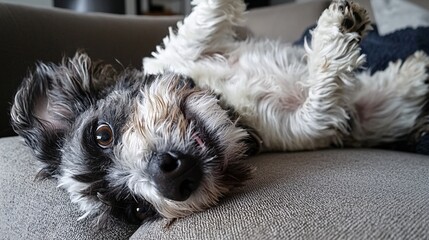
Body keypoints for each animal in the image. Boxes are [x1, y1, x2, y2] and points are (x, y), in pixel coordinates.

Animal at [9, 0, 428, 225]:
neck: (230, 106)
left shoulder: (178, 51)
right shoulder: (310, 125)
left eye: (102, 134)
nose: (169, 180)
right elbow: (324, 101)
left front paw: (412, 69)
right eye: (135, 208)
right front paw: (336, 41)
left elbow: (199, 25)